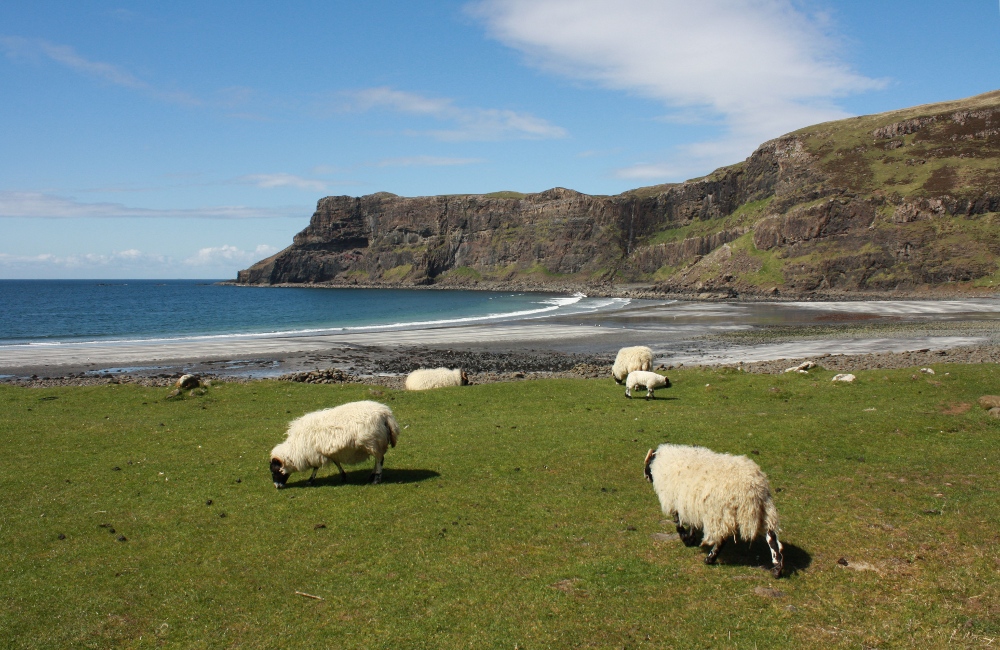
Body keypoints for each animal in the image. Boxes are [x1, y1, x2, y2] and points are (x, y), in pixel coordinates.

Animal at [274, 400, 402, 486]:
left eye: (275, 470)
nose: (277, 487)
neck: (294, 448)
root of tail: (385, 413)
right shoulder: (328, 452)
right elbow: (337, 463)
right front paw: (343, 476)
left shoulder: (314, 453)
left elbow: (315, 467)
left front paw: (310, 480)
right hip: (375, 444)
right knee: (377, 460)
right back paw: (371, 476)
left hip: (373, 442)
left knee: (380, 460)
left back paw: (376, 479)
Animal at [644, 442, 784, 576]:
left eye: (648, 462)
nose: (645, 476)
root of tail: (754, 486)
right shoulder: (690, 504)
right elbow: (692, 524)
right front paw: (691, 538)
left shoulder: (674, 501)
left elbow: (678, 523)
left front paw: (685, 539)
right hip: (765, 510)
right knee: (771, 537)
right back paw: (777, 568)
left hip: (720, 513)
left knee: (722, 539)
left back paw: (710, 559)